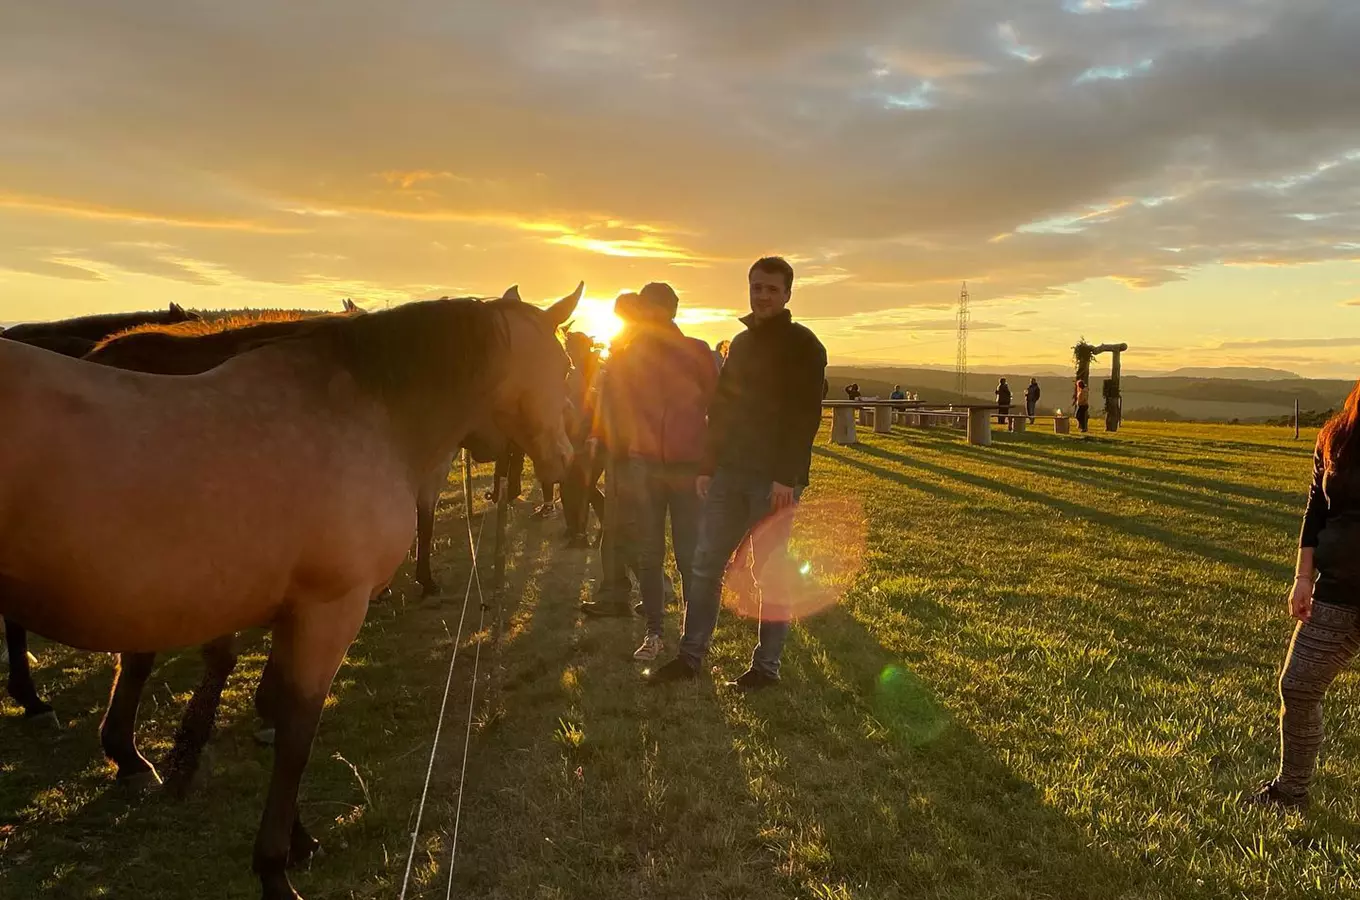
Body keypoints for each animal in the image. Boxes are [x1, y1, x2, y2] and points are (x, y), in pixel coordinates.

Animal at [0, 284, 579, 900]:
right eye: (566, 367)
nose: (566, 459)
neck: (368, 414)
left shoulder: (291, 610)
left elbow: (274, 710)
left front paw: (298, 842)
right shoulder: (330, 611)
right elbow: (298, 730)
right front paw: (275, 868)